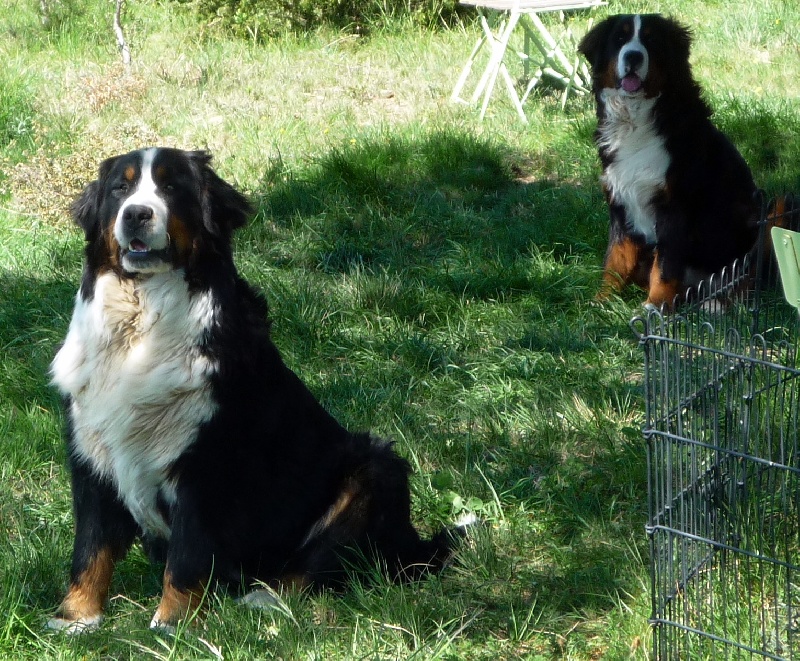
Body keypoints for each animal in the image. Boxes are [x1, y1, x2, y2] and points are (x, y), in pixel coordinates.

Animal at [50, 146, 468, 636]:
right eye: (121, 187)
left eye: (171, 187)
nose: (136, 213)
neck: (139, 325)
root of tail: (412, 544)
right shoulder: (92, 453)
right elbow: (90, 548)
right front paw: (75, 618)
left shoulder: (205, 463)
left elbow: (186, 556)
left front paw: (173, 625)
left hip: (376, 470)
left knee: (321, 561)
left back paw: (265, 598)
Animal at [580, 12, 760, 306]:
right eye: (620, 38)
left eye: (651, 40)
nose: (633, 56)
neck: (636, 120)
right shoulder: (620, 203)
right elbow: (615, 259)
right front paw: (601, 301)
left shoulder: (674, 207)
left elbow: (665, 266)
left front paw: (655, 306)